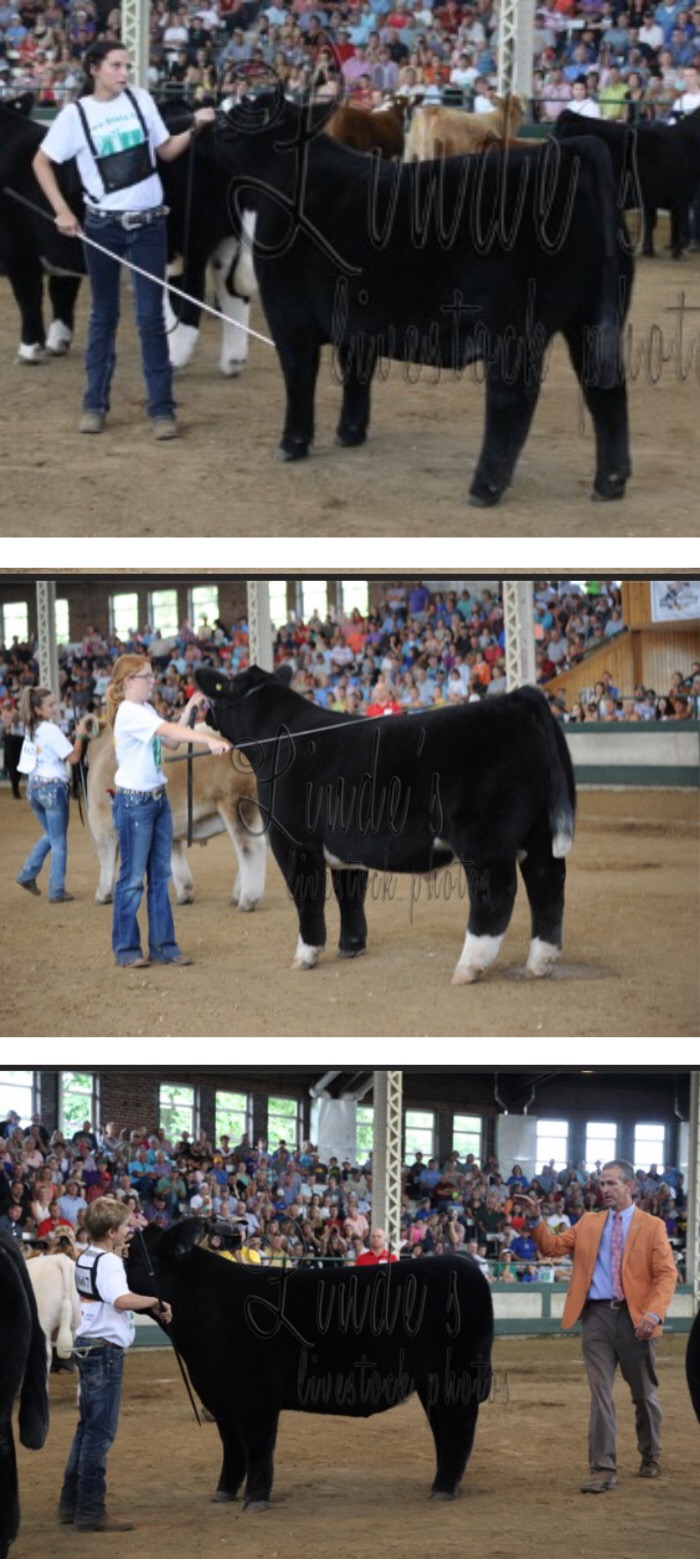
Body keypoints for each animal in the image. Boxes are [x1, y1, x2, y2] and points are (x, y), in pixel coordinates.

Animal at [84, 723, 265, 910]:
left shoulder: (102, 825)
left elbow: (106, 859)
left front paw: (102, 894)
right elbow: (173, 854)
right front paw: (185, 893)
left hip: (237, 804)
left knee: (251, 848)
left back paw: (247, 900)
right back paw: (238, 895)